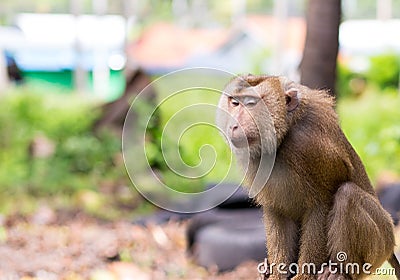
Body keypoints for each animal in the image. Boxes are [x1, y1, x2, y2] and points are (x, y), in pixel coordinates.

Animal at [217, 75, 398, 280]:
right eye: (235, 103)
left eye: (251, 103)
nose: (234, 125)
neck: (284, 137)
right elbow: (277, 211)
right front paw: (277, 273)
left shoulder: (308, 148)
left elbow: (320, 207)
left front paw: (304, 276)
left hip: (380, 243)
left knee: (347, 195)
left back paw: (340, 272)